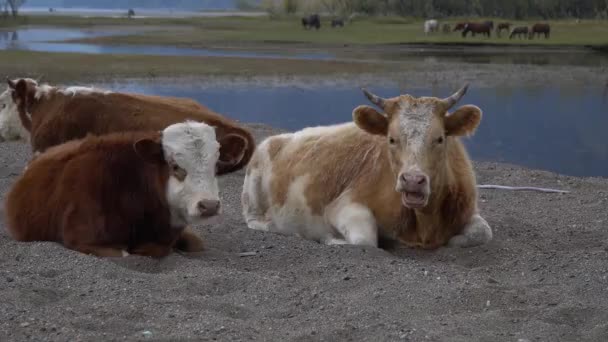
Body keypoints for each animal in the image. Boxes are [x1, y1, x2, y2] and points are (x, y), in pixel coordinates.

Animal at [3, 121, 227, 258]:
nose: (209, 205)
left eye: (216, 165)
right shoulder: (81, 237)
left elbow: (196, 243)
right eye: (175, 166)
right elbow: (125, 253)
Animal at [240, 84, 492, 250]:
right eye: (391, 139)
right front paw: (330, 239)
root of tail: (275, 138)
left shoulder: (467, 210)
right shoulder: (343, 205)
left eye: (440, 139)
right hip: (253, 191)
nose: (412, 180)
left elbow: (481, 233)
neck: (424, 224)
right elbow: (366, 241)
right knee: (254, 220)